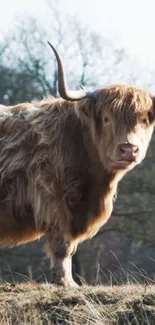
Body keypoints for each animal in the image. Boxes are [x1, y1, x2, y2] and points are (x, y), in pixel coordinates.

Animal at [0, 42, 154, 286]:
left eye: (144, 119)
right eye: (107, 119)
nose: (128, 149)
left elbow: (70, 246)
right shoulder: (53, 199)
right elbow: (63, 245)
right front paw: (66, 282)